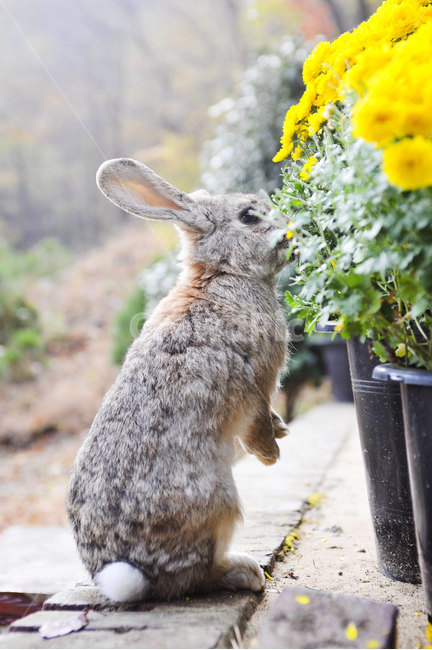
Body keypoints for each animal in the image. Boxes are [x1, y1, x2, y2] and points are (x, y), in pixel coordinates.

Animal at [67, 158, 291, 603]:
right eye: (249, 216)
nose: (293, 232)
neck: (223, 273)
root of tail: (129, 573)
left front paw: (282, 429)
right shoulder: (254, 383)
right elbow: (257, 425)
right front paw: (272, 454)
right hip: (218, 498)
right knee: (197, 575)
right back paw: (246, 573)